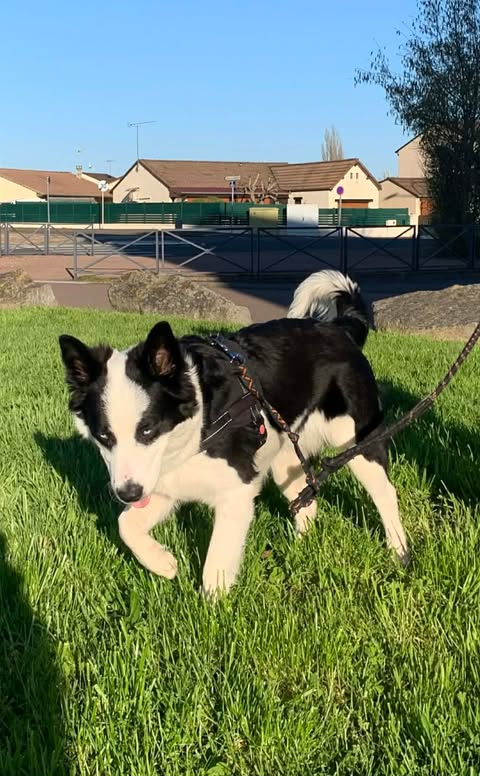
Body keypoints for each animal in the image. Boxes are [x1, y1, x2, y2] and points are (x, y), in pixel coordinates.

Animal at [59, 270, 408, 595]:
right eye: (104, 437)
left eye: (147, 429)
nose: (127, 494)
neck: (203, 418)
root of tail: (341, 328)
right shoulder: (165, 482)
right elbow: (125, 525)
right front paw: (163, 563)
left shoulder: (236, 491)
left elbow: (215, 565)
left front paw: (213, 608)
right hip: (286, 459)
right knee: (307, 501)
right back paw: (300, 549)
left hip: (359, 442)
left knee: (385, 495)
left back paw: (400, 552)